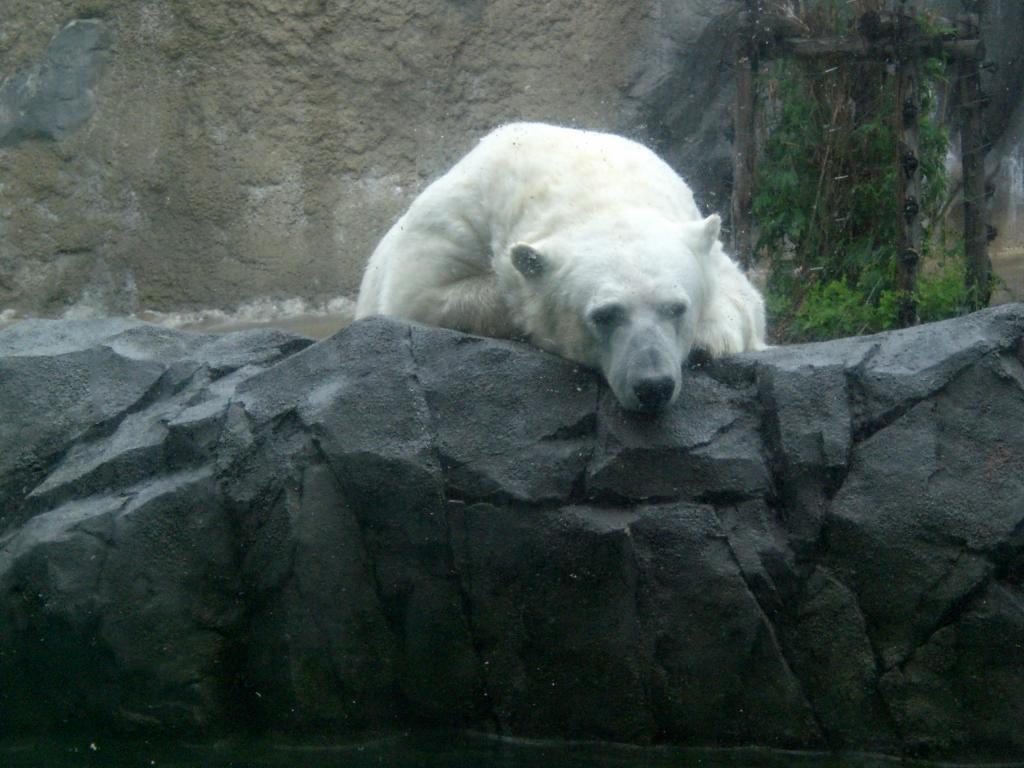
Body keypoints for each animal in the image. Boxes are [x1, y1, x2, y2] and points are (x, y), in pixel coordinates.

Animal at [356, 124, 765, 415]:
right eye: (605, 314)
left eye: (677, 308)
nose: (652, 386)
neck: (591, 186)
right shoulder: (458, 220)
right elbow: (420, 294)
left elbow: (744, 297)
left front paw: (712, 337)